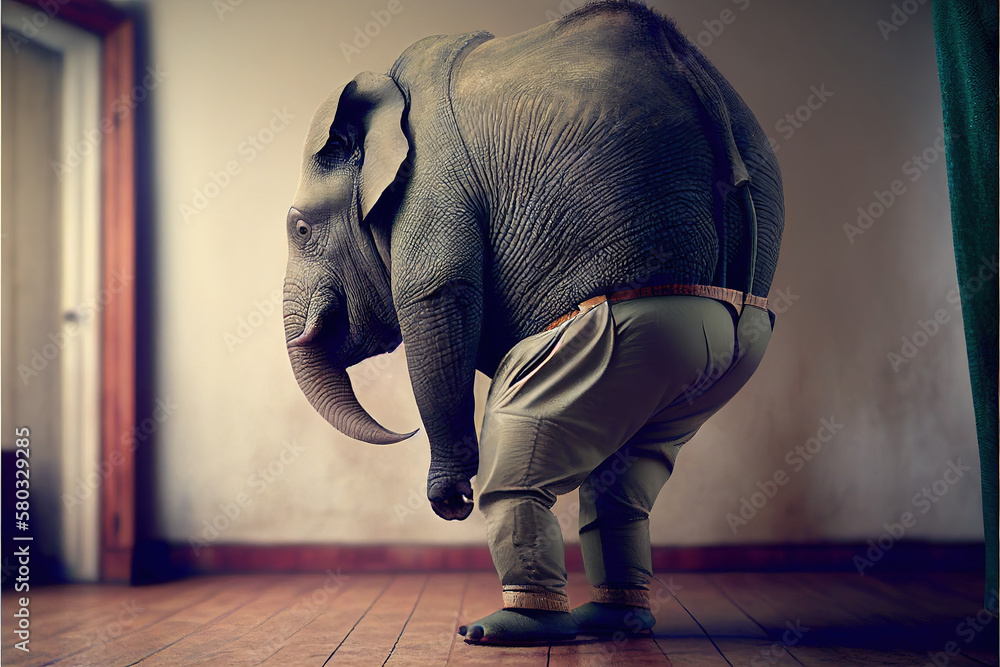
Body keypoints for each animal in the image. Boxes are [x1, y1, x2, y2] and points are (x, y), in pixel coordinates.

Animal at [282, 0, 783, 644]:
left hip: (614, 333)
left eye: (299, 228)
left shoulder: (432, 187)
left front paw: (451, 498)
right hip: (713, 344)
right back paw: (610, 621)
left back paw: (506, 627)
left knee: (522, 465)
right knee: (628, 480)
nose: (451, 503)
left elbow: (436, 293)